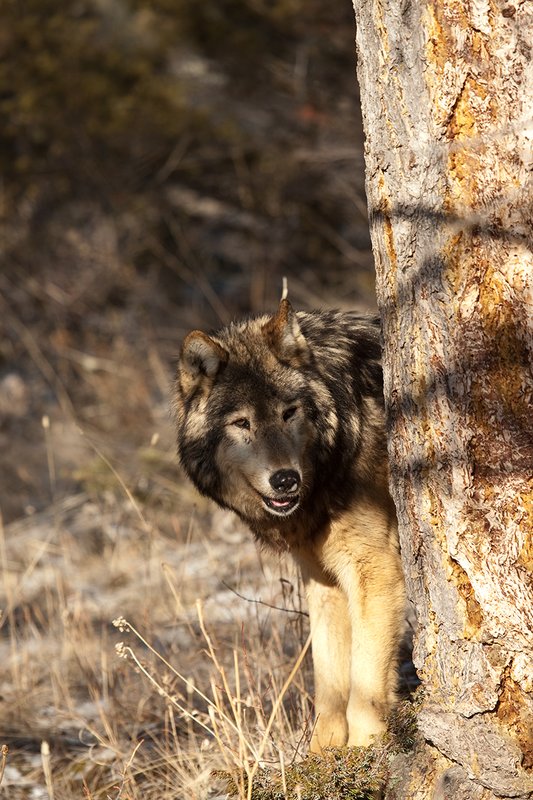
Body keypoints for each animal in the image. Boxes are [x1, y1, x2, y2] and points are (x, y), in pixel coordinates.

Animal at [174, 299, 405, 752]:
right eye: (242, 423)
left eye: (288, 413)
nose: (285, 480)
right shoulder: (324, 579)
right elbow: (330, 688)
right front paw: (324, 757)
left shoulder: (376, 572)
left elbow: (364, 687)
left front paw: (368, 752)